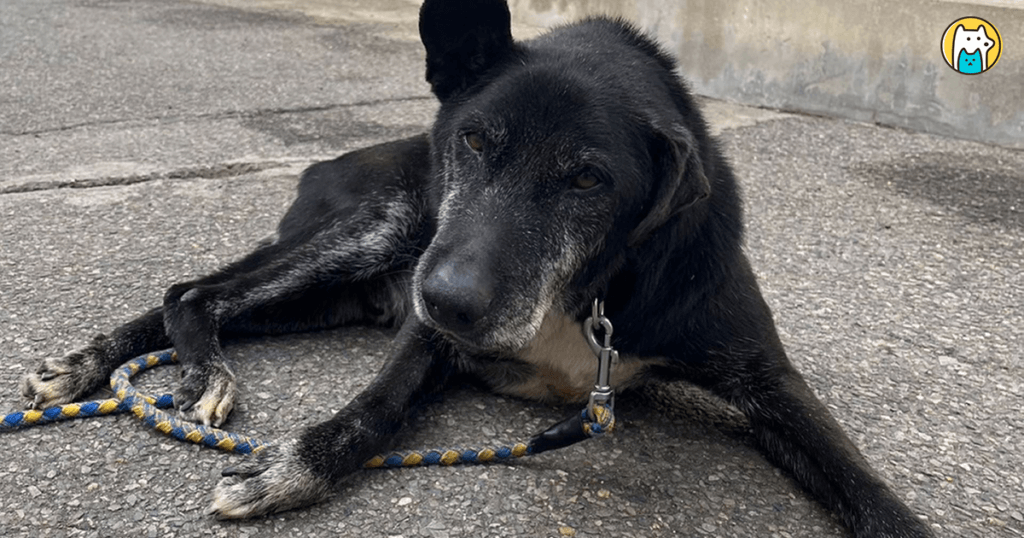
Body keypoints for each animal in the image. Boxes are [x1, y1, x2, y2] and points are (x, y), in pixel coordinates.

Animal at [19, 0, 933, 532]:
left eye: (588, 180)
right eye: (473, 140)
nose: (450, 300)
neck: (584, 293)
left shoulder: (767, 380)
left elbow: (865, 483)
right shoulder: (427, 333)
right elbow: (373, 408)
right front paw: (293, 466)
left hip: (343, 292)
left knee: (197, 295)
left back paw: (101, 366)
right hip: (383, 226)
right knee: (195, 289)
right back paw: (161, 370)